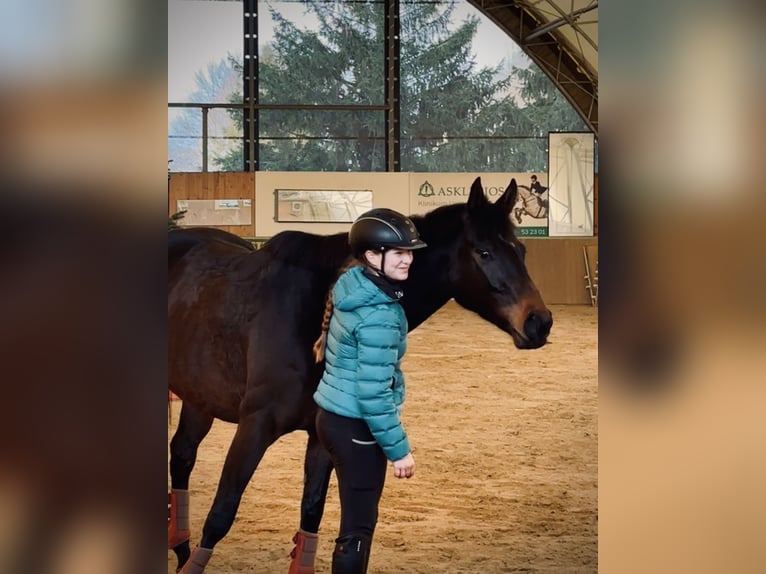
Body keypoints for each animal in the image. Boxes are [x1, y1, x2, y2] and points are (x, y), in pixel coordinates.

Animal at [168, 178, 552, 572]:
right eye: (484, 252)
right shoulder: (255, 426)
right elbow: (221, 514)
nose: (539, 322)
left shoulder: (320, 437)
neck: (315, 305)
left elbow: (310, 516)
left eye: (520, 250)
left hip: (200, 398)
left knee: (181, 454)